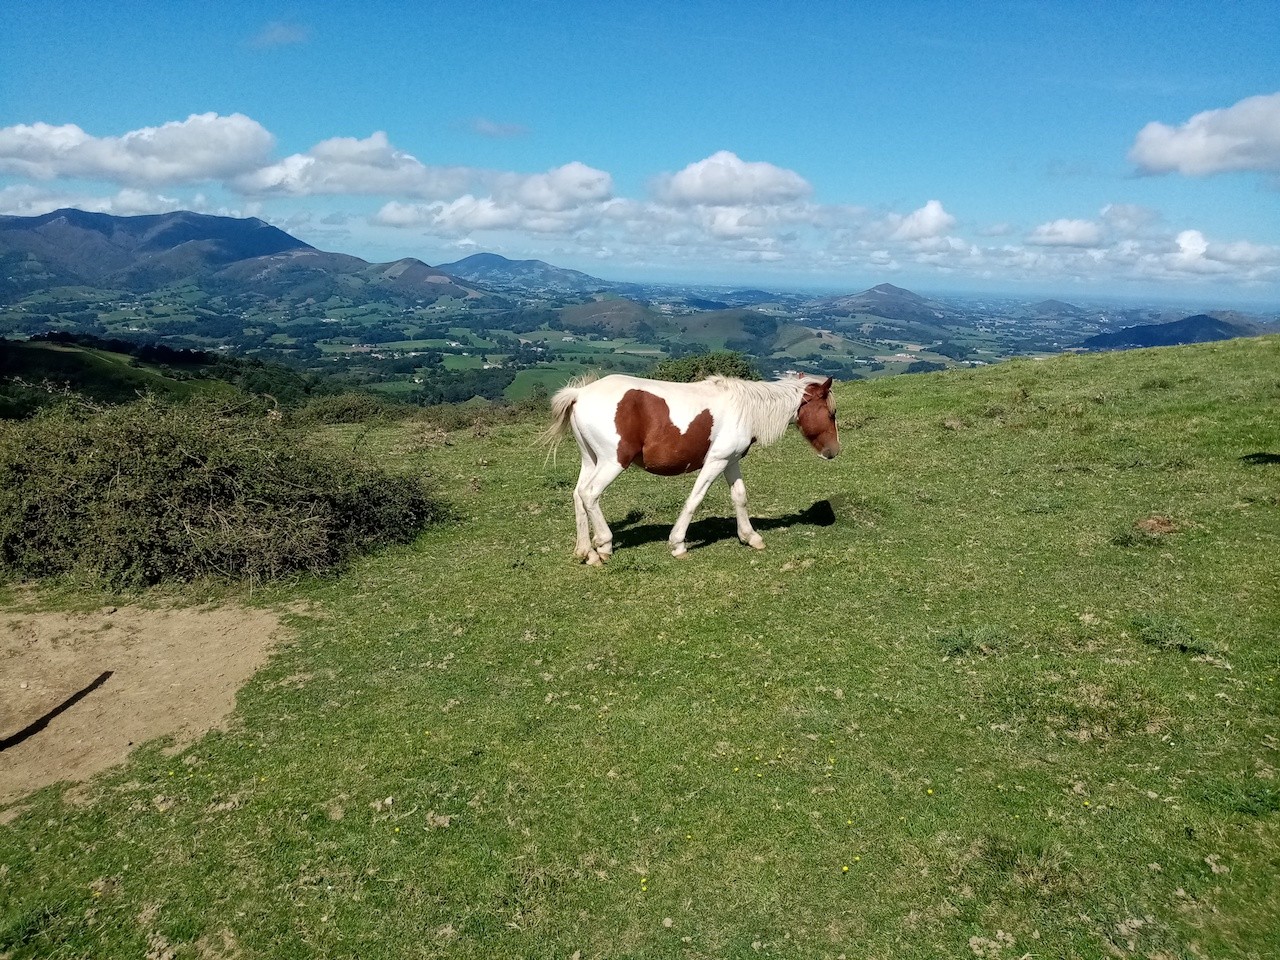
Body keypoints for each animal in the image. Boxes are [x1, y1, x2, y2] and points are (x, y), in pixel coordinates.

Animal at [540, 371, 839, 563]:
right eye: (831, 413)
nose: (834, 451)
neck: (745, 408)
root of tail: (579, 394)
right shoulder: (716, 461)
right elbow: (695, 499)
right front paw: (678, 543)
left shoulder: (730, 461)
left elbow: (739, 497)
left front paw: (750, 537)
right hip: (612, 462)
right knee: (590, 494)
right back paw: (603, 545)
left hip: (590, 460)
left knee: (578, 495)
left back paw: (585, 551)